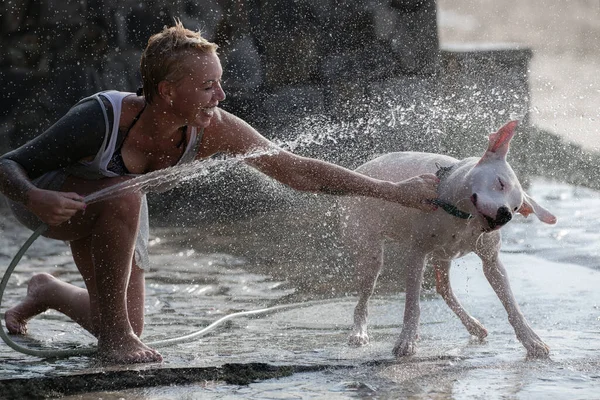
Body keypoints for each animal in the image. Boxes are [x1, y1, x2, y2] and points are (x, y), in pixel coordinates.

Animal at [342, 120, 556, 358]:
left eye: (517, 207)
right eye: (500, 183)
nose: (505, 215)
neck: (462, 216)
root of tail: (360, 169)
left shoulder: (492, 262)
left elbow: (511, 305)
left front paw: (532, 340)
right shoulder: (417, 254)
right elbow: (412, 305)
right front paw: (407, 341)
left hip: (442, 256)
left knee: (443, 288)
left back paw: (473, 325)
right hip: (370, 252)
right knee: (364, 297)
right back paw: (359, 332)